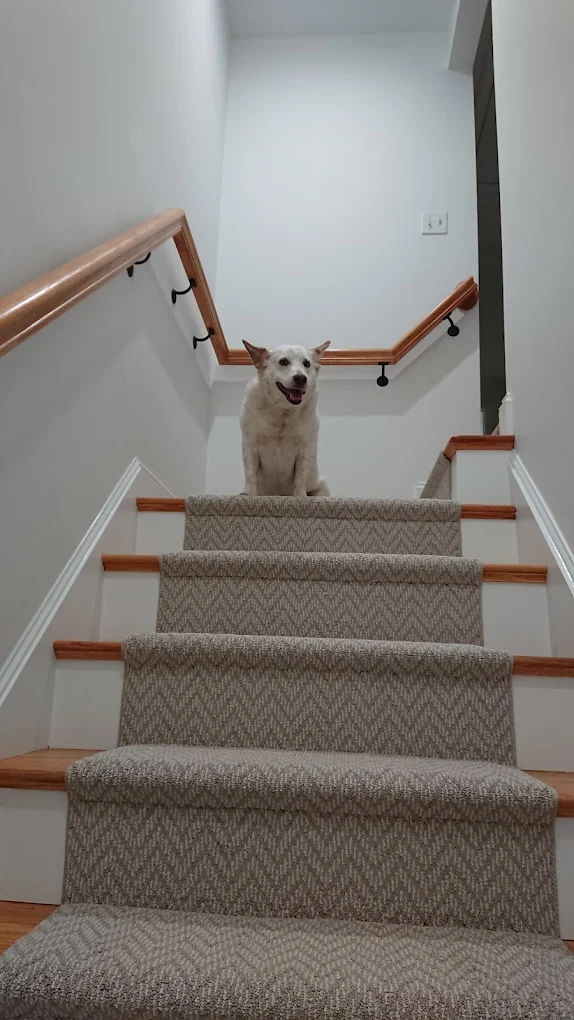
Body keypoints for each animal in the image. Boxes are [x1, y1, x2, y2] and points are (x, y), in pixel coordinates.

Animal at [240, 341, 331, 497]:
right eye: (283, 362)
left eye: (306, 364)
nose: (301, 378)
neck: (282, 413)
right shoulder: (249, 445)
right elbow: (250, 475)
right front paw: (248, 495)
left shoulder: (305, 449)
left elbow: (300, 478)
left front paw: (300, 496)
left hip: (322, 488)